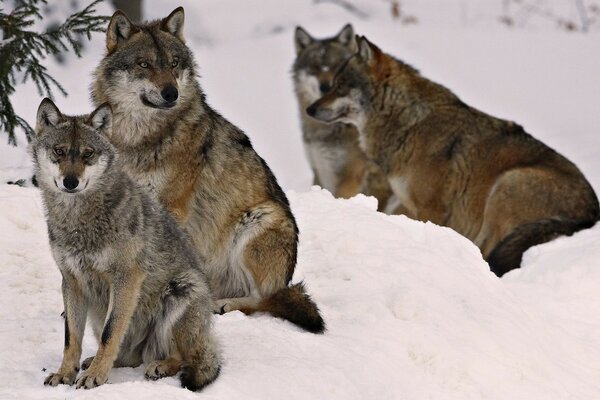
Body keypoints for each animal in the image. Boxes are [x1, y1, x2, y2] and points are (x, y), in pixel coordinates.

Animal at [32, 99, 220, 390]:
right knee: (128, 357)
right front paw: (65, 374)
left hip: (182, 288)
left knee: (182, 357)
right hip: (98, 311)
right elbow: (71, 338)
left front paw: (95, 377)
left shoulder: (126, 278)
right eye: (59, 151)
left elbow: (110, 333)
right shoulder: (71, 281)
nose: (70, 182)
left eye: (88, 154)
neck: (79, 220)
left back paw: (159, 366)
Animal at [90, 7, 324, 332]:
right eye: (144, 64)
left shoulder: (172, 207)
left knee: (266, 300)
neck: (139, 138)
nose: (171, 93)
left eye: (173, 63)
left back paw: (223, 305)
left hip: (259, 221)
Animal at [310, 36, 600, 276]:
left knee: (487, 251)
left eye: (340, 86)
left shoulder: (432, 208)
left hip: (506, 185)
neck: (409, 123)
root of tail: (591, 213)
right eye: (331, 85)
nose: (310, 109)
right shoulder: (408, 203)